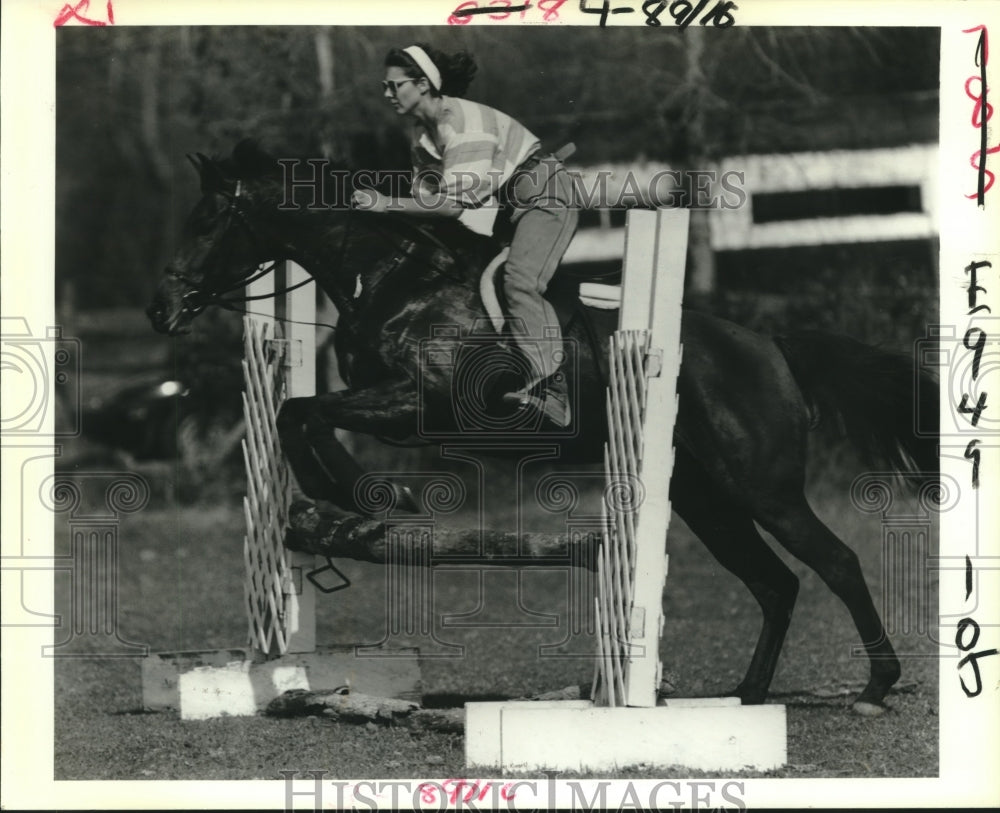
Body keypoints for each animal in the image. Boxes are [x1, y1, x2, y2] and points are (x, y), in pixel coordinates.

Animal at [146, 141, 936, 716]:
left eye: (209, 218)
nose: (162, 307)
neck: (396, 279)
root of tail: (771, 346)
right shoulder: (393, 407)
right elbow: (296, 412)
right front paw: (343, 500)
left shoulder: (419, 405)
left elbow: (304, 412)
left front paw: (370, 495)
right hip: (704, 498)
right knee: (775, 583)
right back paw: (747, 694)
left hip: (761, 488)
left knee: (835, 563)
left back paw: (874, 688)